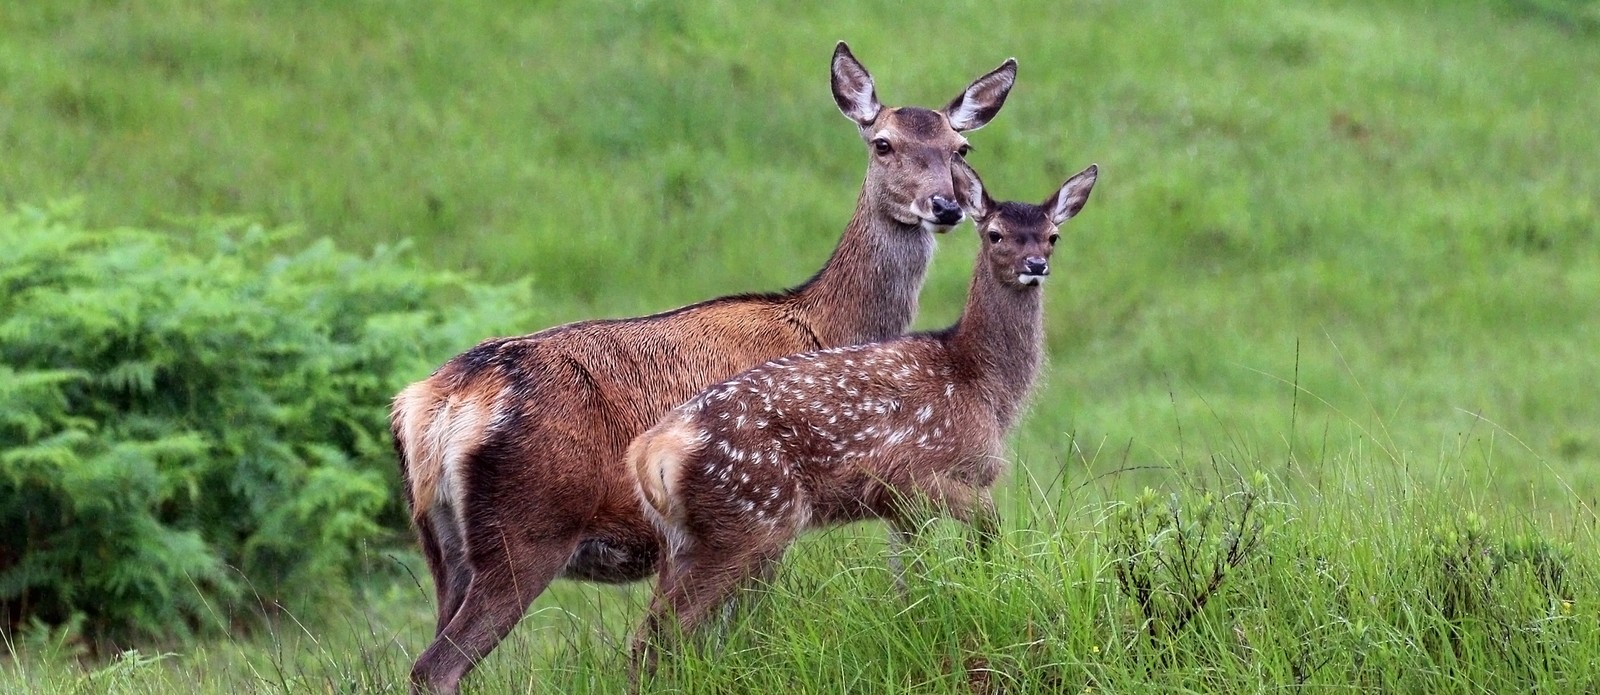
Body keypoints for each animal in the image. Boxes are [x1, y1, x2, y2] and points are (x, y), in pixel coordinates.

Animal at [390, 42, 1017, 695]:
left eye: (960, 149)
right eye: (883, 143)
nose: (945, 205)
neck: (824, 324)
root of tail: (437, 402)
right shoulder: (765, 515)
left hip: (441, 542)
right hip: (528, 528)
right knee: (437, 665)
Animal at [627, 157, 1098, 675]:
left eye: (1053, 235)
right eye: (995, 234)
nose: (1035, 266)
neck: (980, 385)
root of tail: (651, 452)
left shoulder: (902, 509)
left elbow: (909, 578)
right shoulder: (916, 472)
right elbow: (989, 523)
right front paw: (984, 581)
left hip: (687, 537)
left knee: (653, 630)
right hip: (750, 517)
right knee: (666, 631)